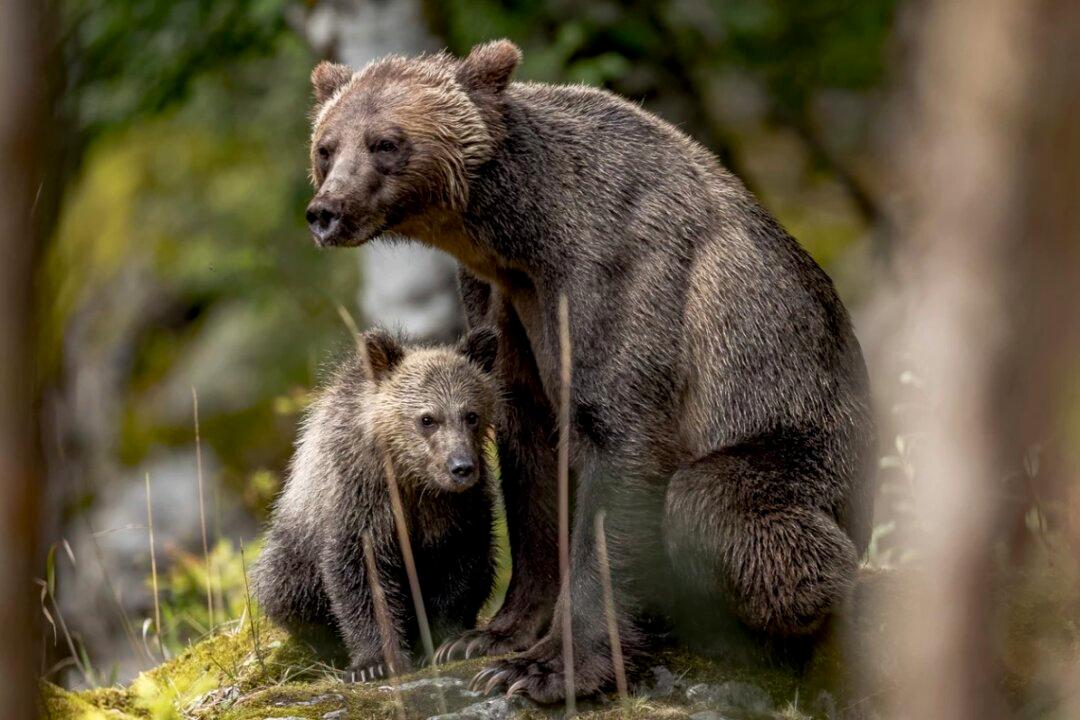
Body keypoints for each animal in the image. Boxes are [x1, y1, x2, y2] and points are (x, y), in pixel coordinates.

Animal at [252, 326, 501, 680]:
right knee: (285, 589)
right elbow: (362, 578)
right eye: (427, 418)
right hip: (293, 551)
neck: (412, 480)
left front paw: (445, 642)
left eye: (471, 415)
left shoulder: (459, 511)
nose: (461, 467)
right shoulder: (361, 501)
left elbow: (461, 569)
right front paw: (374, 663)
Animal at [301, 40, 876, 702]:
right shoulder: (503, 303)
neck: (522, 237)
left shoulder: (614, 279)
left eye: (385, 142)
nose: (325, 212)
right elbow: (531, 452)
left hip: (808, 453)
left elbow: (617, 444)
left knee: (716, 506)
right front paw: (491, 637)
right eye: (326, 146)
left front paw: (546, 669)